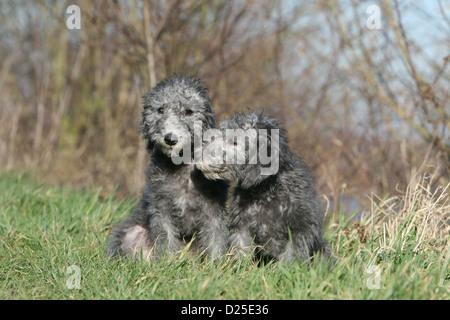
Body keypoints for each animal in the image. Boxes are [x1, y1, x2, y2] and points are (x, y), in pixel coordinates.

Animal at [108, 75, 229, 262]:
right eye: (160, 110)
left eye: (189, 111)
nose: (170, 139)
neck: (181, 166)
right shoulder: (160, 209)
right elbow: (165, 237)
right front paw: (168, 263)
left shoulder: (213, 210)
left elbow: (215, 238)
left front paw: (216, 264)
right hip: (133, 232)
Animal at [197, 111, 330, 264]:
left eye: (234, 141)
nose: (198, 153)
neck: (266, 190)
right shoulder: (242, 226)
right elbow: (240, 250)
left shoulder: (299, 230)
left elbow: (290, 258)